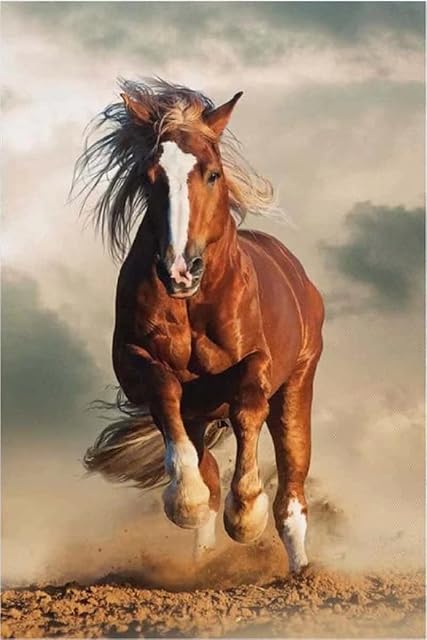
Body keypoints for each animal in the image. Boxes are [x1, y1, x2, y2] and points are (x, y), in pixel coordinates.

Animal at [76, 78, 324, 573]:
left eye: (212, 174)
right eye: (149, 178)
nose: (178, 270)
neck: (193, 304)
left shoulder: (258, 364)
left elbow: (248, 406)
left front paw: (245, 514)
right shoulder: (137, 364)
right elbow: (165, 394)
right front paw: (185, 501)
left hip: (298, 385)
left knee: (292, 486)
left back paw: (299, 570)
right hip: (201, 414)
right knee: (206, 466)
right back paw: (203, 558)